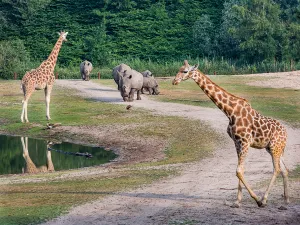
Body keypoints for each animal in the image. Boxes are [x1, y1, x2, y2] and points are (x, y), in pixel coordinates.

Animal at [172, 59, 290, 207]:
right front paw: (237, 201)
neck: (230, 111)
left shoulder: (245, 142)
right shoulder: (237, 142)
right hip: (274, 148)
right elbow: (240, 170)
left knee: (277, 169)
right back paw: (286, 199)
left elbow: (238, 170)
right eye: (178, 69)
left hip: (275, 147)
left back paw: (264, 200)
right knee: (285, 169)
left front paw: (256, 199)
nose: (174, 81)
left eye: (185, 71)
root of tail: (286, 133)